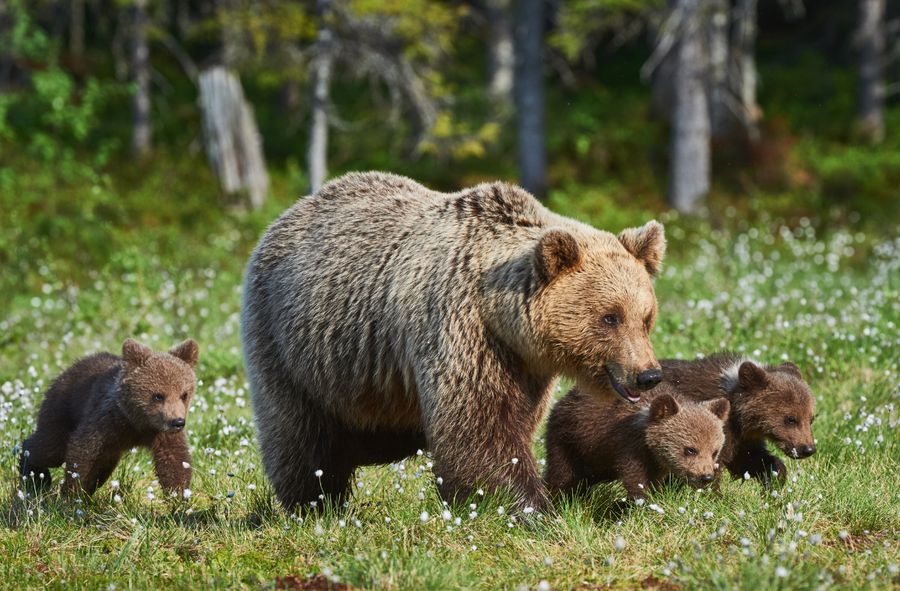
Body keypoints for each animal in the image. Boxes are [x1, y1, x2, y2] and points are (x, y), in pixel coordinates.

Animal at [243, 172, 664, 512]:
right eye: (610, 317)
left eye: (645, 317)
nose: (648, 375)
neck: (499, 315)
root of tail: (287, 215)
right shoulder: (464, 331)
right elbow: (479, 429)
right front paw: (527, 506)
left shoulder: (524, 365)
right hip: (292, 344)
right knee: (303, 437)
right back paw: (316, 503)